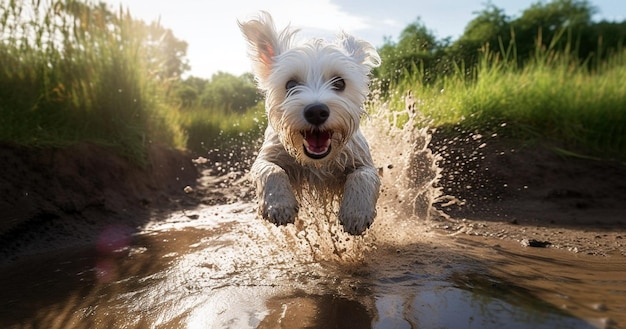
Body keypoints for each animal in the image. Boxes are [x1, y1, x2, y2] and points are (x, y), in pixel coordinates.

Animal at [236, 11, 378, 233]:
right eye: (291, 84)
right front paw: (279, 204)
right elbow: (270, 170)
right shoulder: (267, 156)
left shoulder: (362, 159)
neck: (317, 162)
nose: (316, 112)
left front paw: (356, 212)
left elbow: (363, 175)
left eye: (339, 83)